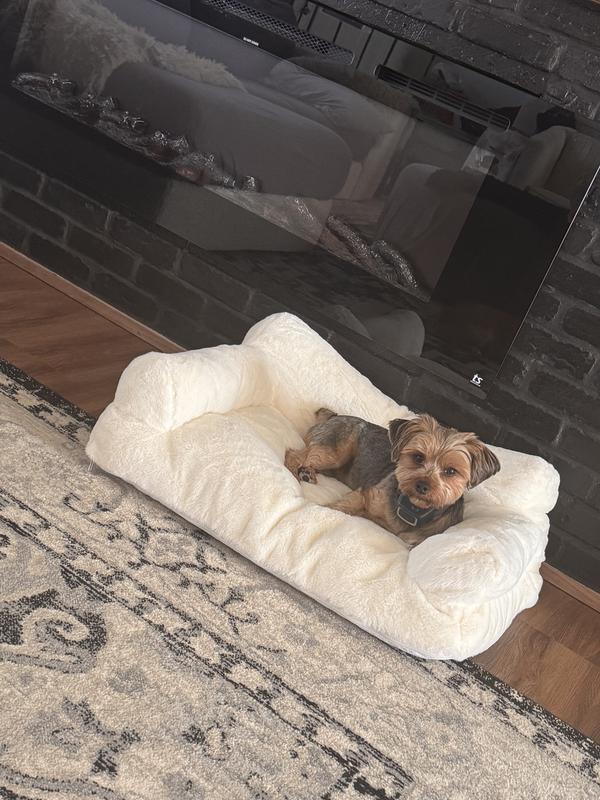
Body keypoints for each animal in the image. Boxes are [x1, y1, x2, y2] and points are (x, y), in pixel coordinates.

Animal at [285, 409, 500, 547]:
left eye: (451, 471)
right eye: (418, 457)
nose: (422, 485)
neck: (413, 509)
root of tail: (333, 415)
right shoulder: (366, 494)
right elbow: (342, 507)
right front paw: (325, 512)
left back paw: (307, 472)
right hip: (336, 450)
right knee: (294, 455)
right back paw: (296, 472)